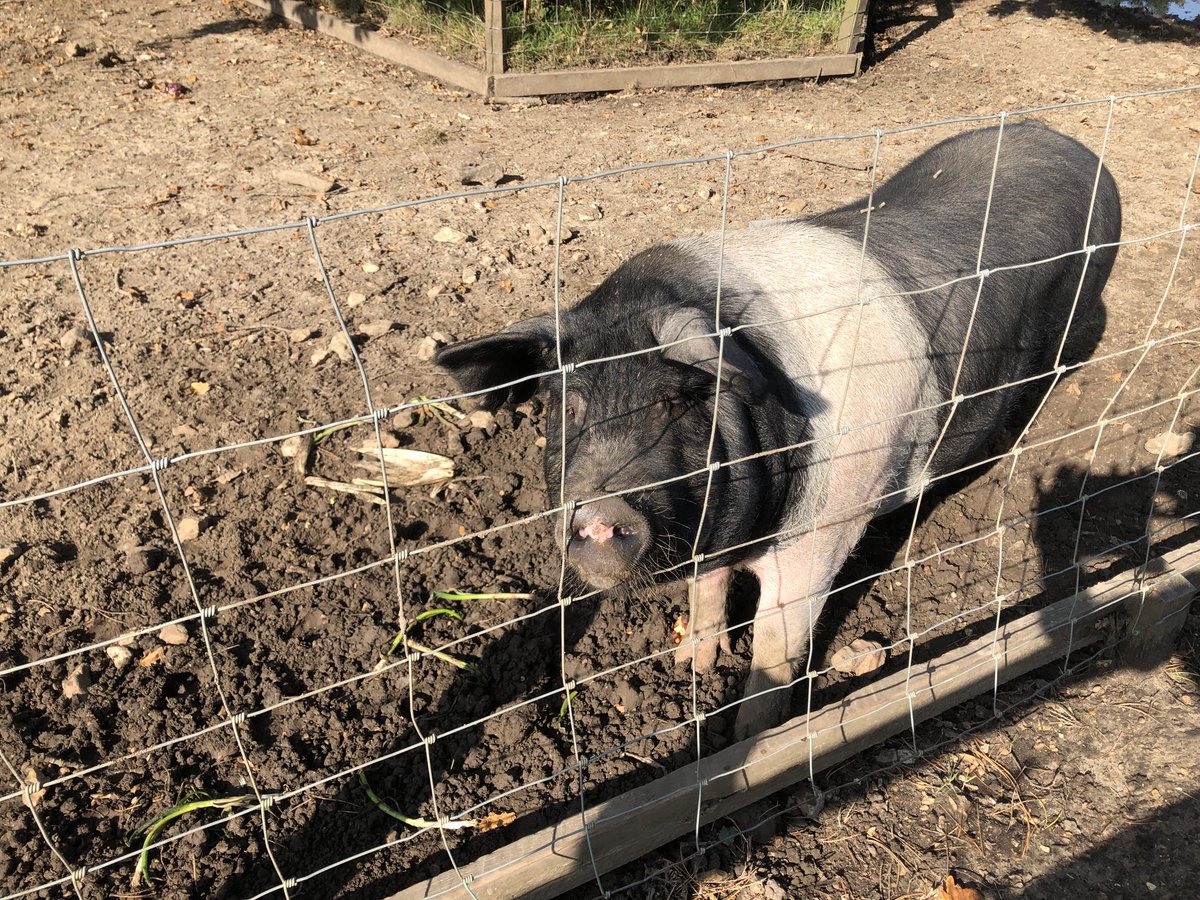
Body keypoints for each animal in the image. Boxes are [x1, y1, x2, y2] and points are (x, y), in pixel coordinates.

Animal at [435, 122, 1121, 740]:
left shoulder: (830, 525)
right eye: (570, 405)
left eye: (678, 400)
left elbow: (774, 646)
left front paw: (748, 744)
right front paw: (691, 663)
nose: (602, 510)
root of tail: (1076, 148)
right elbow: (707, 591)